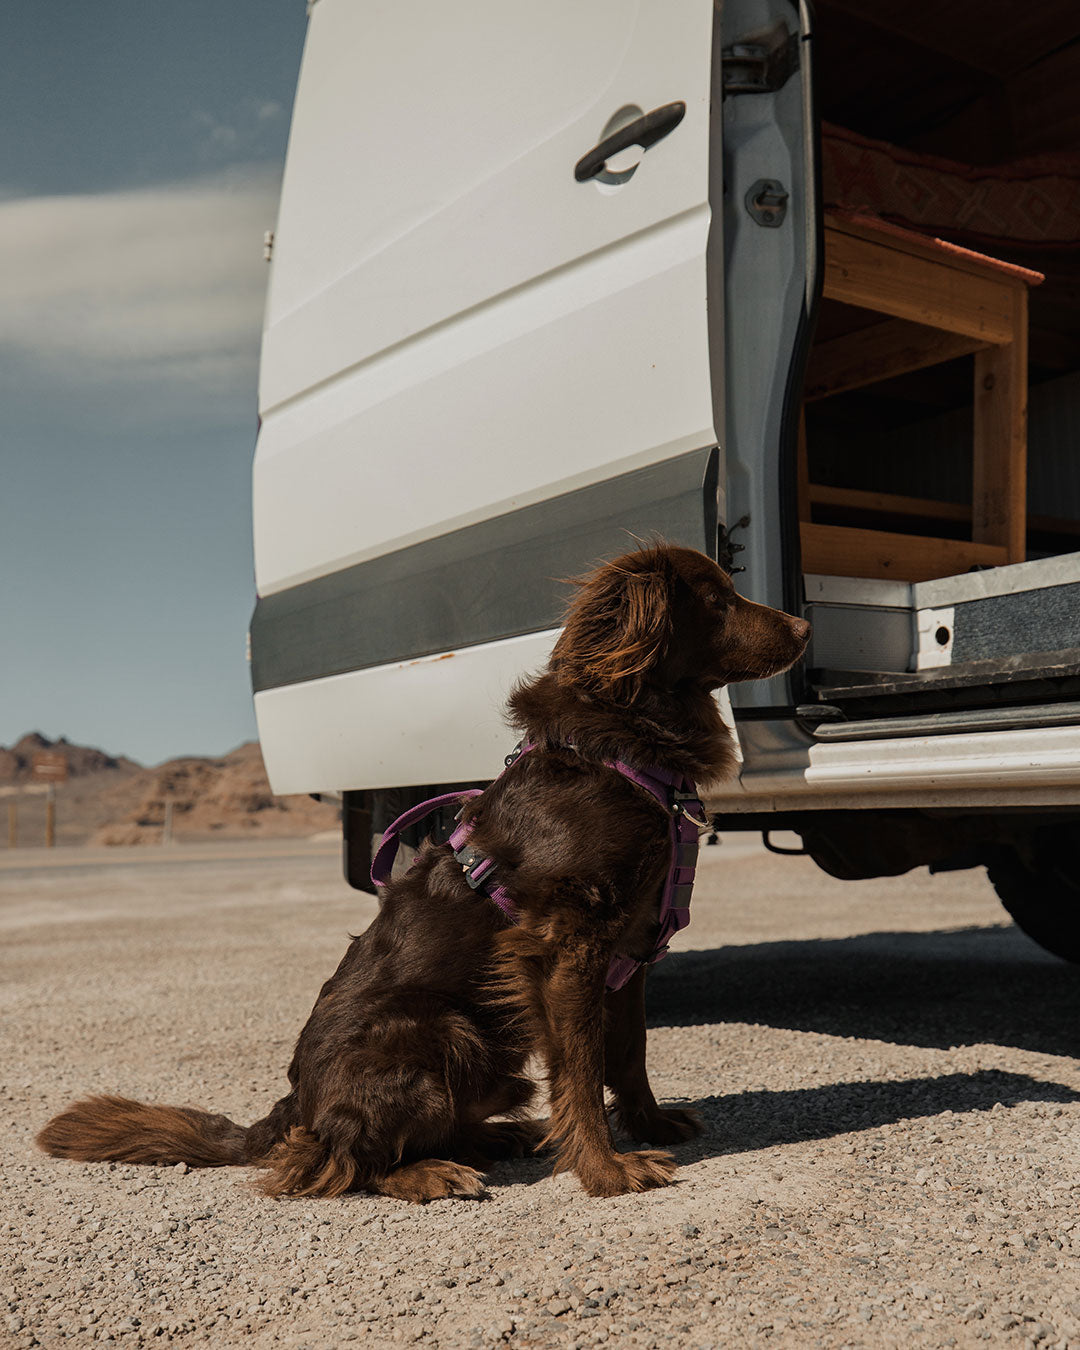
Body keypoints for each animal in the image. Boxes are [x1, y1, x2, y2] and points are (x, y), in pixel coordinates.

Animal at [37, 545, 804, 1204]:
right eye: (716, 599)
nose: (803, 624)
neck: (621, 749)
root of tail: (297, 1104)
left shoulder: (631, 946)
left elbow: (628, 1049)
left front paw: (648, 1124)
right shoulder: (567, 946)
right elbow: (581, 1069)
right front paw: (605, 1169)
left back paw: (502, 1137)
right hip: (436, 1030)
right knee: (332, 1161)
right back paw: (430, 1172)